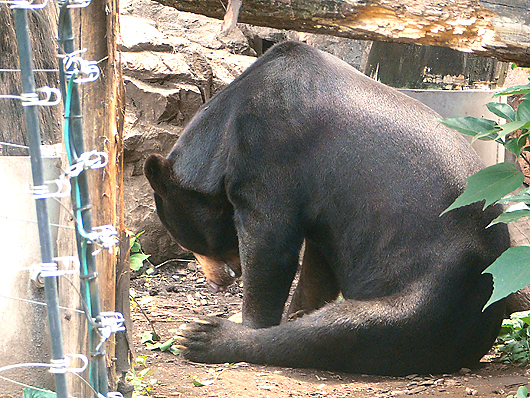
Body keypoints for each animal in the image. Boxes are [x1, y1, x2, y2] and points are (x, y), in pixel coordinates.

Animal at [143, 40, 508, 376]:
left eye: (189, 242)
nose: (217, 282)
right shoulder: (325, 212)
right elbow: (316, 266)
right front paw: (294, 309)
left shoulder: (271, 155)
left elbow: (270, 249)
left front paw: (250, 320)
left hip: (428, 290)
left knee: (340, 330)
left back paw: (204, 336)